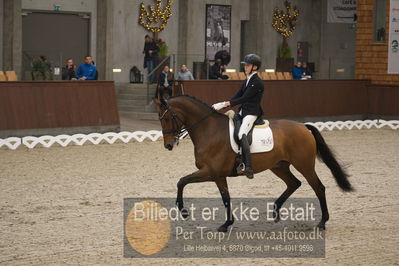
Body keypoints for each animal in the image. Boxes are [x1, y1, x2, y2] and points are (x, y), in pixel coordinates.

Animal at [153, 95, 354, 231]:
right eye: (160, 119)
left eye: (167, 118)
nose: (168, 145)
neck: (208, 129)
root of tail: (303, 127)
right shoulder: (217, 175)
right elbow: (224, 197)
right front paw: (227, 224)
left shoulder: (212, 172)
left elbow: (182, 181)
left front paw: (184, 211)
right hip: (279, 166)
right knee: (294, 183)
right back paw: (275, 211)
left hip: (304, 165)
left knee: (318, 187)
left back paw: (322, 222)